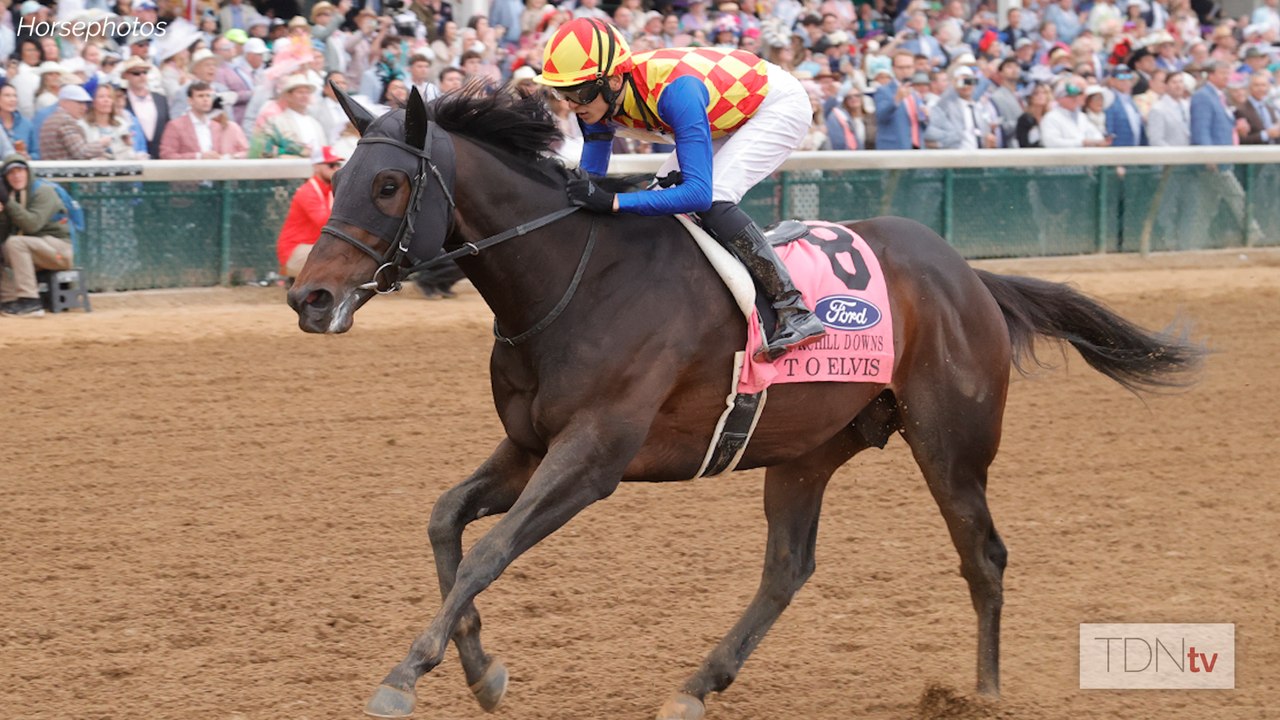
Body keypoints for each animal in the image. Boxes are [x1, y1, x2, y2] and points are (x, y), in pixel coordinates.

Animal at [287, 86, 1203, 719]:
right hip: (807, 449)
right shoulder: (530, 444)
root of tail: (970, 275)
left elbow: (489, 550)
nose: (309, 297)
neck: (572, 280)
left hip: (951, 442)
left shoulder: (594, 456)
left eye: (391, 185)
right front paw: (481, 670)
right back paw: (698, 683)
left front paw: (406, 674)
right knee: (788, 568)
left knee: (984, 556)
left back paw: (981, 694)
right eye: (336, 178)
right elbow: (447, 520)